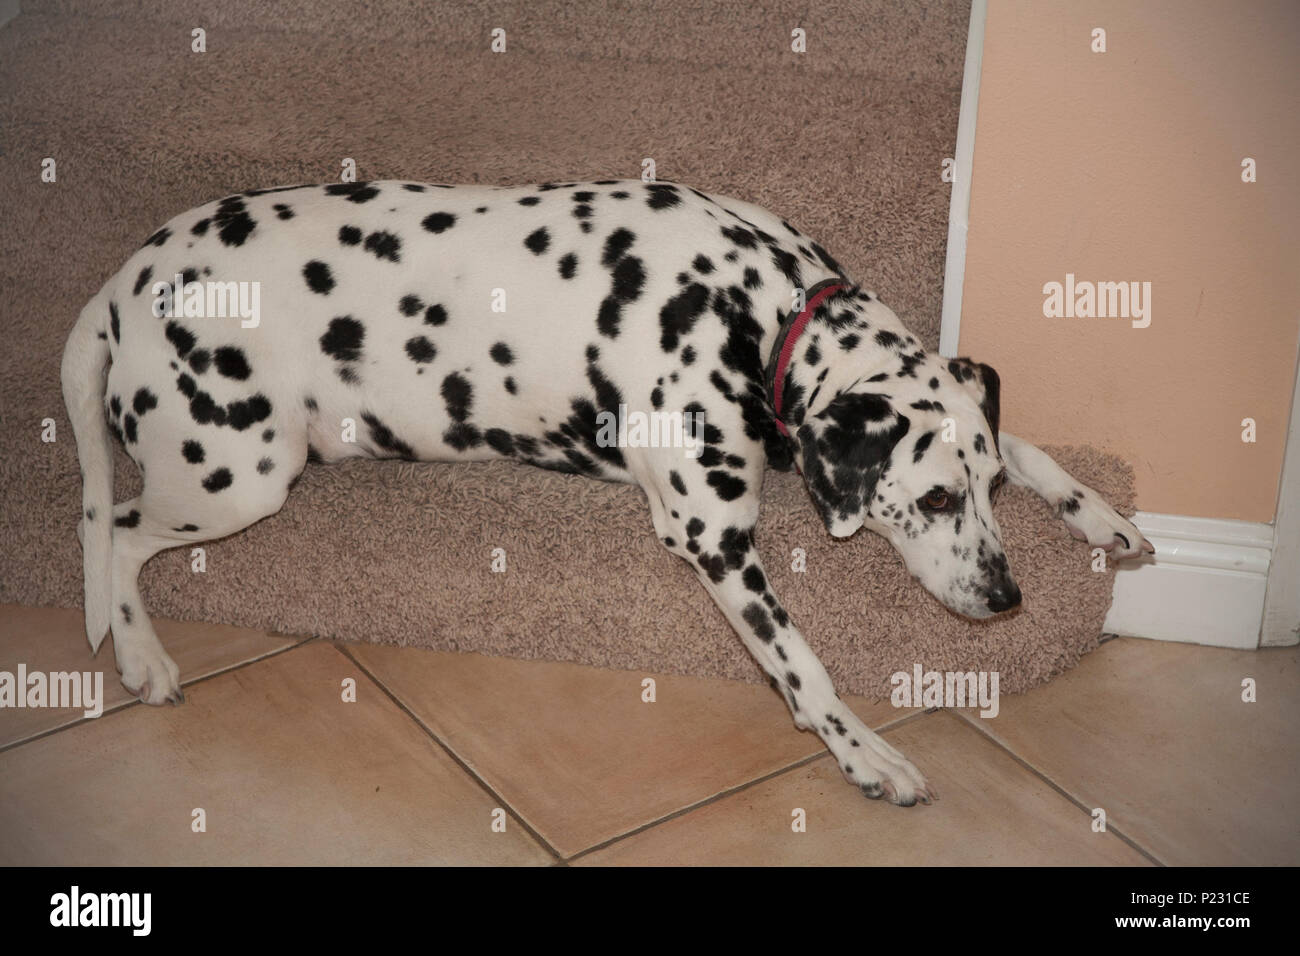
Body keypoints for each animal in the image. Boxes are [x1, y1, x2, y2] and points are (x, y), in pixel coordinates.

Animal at [61, 179, 1154, 806]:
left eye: (983, 492)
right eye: (929, 503)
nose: (1006, 598)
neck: (753, 308)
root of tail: (122, 282)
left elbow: (1028, 442)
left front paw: (1099, 512)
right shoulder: (712, 534)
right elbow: (803, 664)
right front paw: (863, 753)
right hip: (236, 471)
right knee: (111, 528)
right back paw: (142, 653)